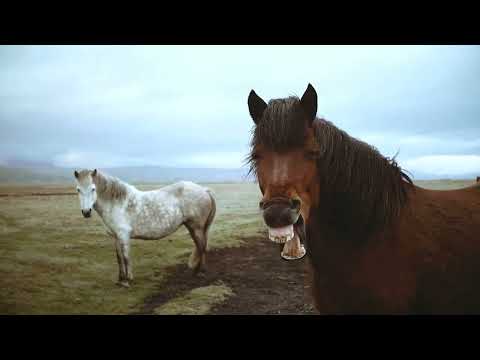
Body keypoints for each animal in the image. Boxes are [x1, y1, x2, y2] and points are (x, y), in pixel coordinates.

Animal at [73, 168, 216, 286]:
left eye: (93, 188)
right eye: (78, 189)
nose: (86, 212)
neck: (117, 203)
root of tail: (204, 190)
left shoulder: (124, 236)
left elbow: (126, 257)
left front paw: (127, 281)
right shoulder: (115, 236)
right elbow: (119, 258)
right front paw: (120, 279)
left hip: (196, 228)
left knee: (201, 247)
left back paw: (200, 272)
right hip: (193, 228)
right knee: (200, 246)